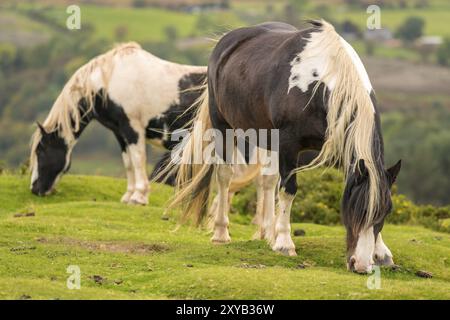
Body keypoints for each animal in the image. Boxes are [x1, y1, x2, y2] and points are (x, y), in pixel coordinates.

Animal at [30, 42, 207, 205]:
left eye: (40, 151)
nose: (35, 189)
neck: (111, 81)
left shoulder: (132, 128)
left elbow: (137, 159)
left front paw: (139, 197)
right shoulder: (120, 132)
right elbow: (128, 162)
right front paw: (128, 196)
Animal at [171, 21, 400, 272]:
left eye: (386, 211)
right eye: (355, 208)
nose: (360, 265)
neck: (320, 83)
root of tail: (227, 40)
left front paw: (381, 252)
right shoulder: (289, 144)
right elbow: (288, 190)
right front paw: (284, 243)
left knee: (267, 181)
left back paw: (266, 233)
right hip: (224, 127)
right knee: (224, 176)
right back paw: (221, 233)